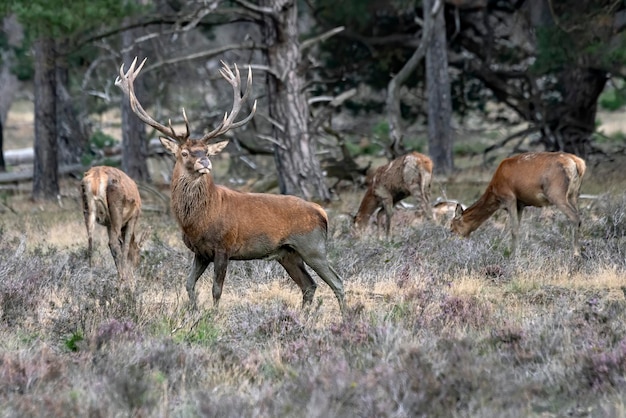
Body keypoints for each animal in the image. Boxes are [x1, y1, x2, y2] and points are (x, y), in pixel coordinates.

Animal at [116, 58, 346, 314]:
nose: (205, 162)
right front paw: (194, 311)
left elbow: (217, 290)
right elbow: (188, 284)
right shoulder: (200, 252)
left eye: (206, 151)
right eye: (184, 152)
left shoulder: (223, 247)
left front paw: (213, 316)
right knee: (309, 285)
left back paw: (346, 315)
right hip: (287, 253)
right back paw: (305, 316)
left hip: (312, 246)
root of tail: (321, 211)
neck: (196, 221)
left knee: (337, 281)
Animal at [448, 150, 584, 255]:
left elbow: (513, 229)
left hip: (556, 193)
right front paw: (516, 251)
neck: (495, 192)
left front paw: (514, 255)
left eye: (452, 227)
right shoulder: (521, 204)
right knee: (579, 217)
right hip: (573, 194)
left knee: (574, 217)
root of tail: (578, 163)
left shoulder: (510, 198)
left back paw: (575, 253)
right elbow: (518, 227)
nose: (454, 244)